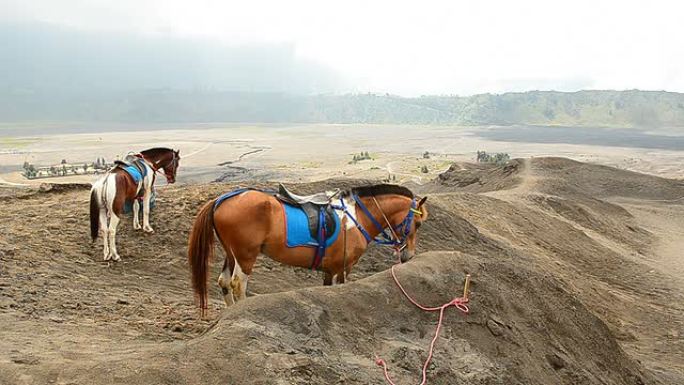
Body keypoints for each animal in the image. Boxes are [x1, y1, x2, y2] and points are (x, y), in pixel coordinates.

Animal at [188, 184, 428, 314]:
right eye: (418, 224)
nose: (408, 255)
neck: (355, 216)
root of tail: (220, 200)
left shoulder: (330, 269)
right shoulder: (342, 268)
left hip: (231, 253)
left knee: (224, 282)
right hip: (246, 255)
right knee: (237, 283)